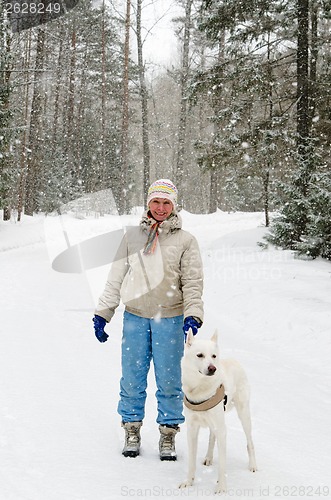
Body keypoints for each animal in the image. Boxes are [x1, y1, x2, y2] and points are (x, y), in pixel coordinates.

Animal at [180, 330, 258, 494]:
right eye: (200, 355)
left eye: (214, 356)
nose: (212, 368)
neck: (200, 389)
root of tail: (235, 361)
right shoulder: (192, 429)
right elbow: (191, 461)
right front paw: (188, 482)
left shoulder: (222, 430)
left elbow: (222, 464)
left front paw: (221, 487)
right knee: (212, 437)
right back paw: (208, 457)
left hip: (243, 414)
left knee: (249, 442)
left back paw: (253, 465)